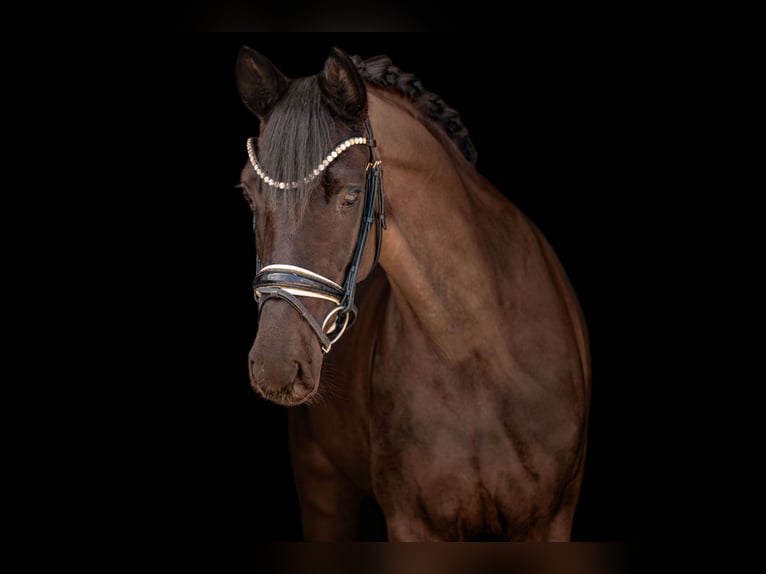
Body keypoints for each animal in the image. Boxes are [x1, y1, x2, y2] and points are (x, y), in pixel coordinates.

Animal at [235, 46, 591, 541]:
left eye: (350, 196)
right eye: (249, 195)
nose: (274, 365)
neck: (477, 352)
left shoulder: (549, 521)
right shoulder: (411, 522)